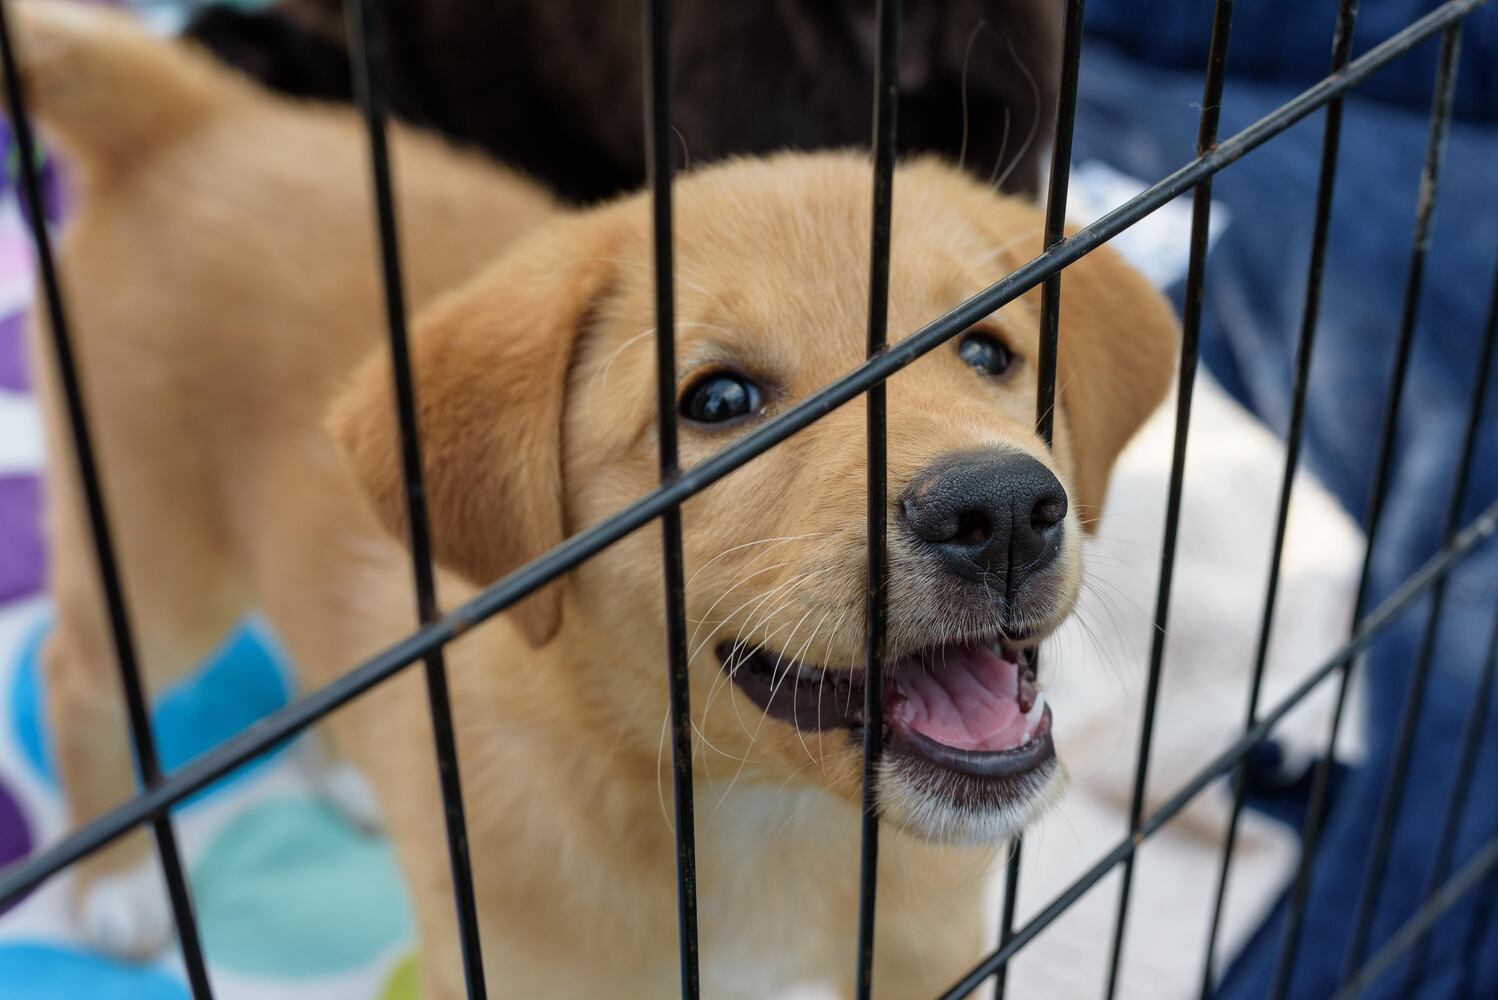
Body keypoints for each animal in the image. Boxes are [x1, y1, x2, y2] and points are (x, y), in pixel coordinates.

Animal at [11, 3, 1180, 994]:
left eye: (987, 351)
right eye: (717, 400)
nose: (1002, 511)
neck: (766, 823)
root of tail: (194, 116)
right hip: (150, 550)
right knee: (76, 676)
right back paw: (115, 882)